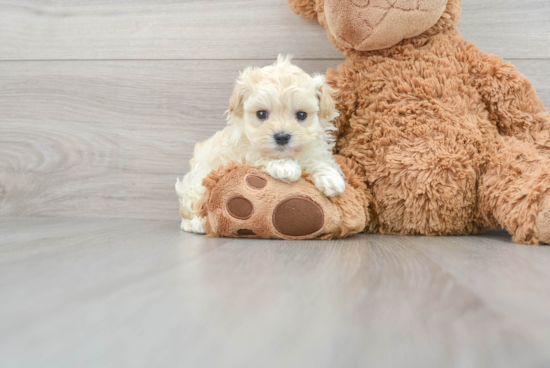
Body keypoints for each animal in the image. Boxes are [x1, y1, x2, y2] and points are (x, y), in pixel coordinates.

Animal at [176, 54, 344, 233]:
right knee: (191, 212)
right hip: (196, 186)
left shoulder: (313, 147)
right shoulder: (240, 154)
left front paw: (331, 178)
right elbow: (259, 155)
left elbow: (318, 160)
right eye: (261, 114)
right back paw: (198, 223)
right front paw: (285, 166)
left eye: (301, 115)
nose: (282, 137)